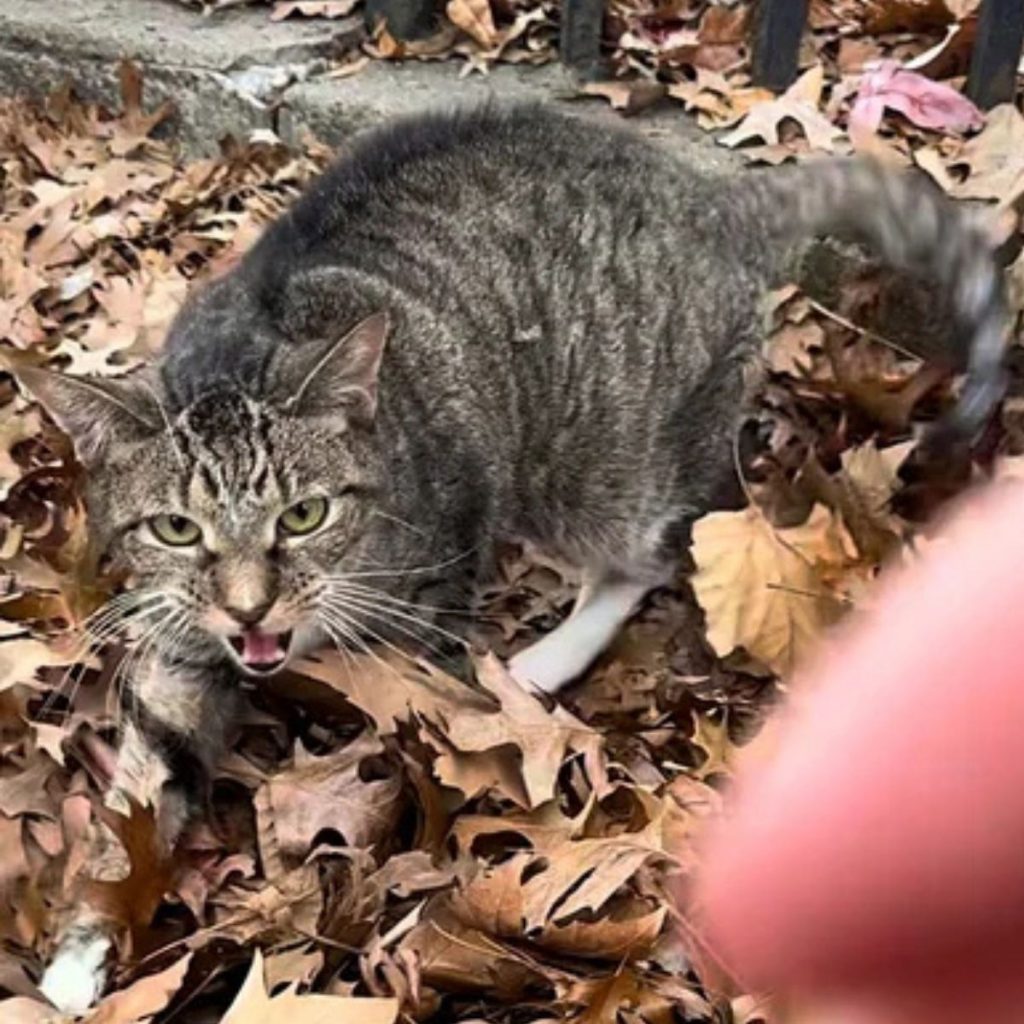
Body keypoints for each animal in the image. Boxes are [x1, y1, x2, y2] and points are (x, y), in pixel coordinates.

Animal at [22, 99, 1007, 1011]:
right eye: (176, 530)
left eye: (303, 515)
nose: (250, 605)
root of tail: (713, 196)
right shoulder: (179, 643)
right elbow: (142, 785)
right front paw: (83, 945)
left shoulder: (431, 593)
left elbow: (407, 754)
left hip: (595, 468)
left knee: (642, 559)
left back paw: (540, 662)